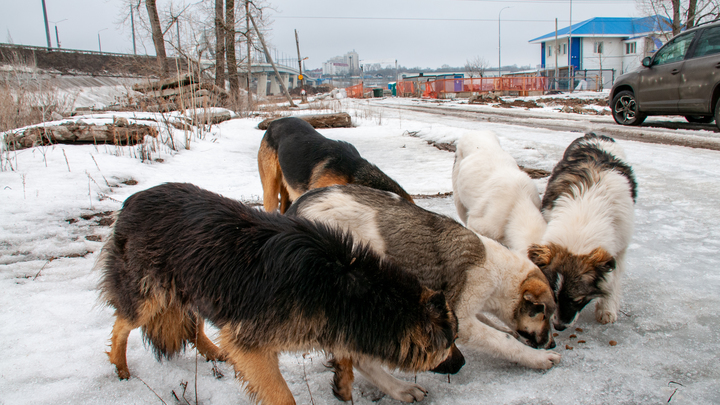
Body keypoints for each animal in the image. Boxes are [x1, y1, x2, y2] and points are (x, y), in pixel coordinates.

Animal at [97, 182, 456, 404]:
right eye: (449, 345)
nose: (462, 364)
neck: (341, 283)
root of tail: (134, 199)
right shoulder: (251, 347)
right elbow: (283, 395)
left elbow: (346, 353)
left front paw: (345, 380)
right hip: (150, 294)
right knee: (121, 325)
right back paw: (120, 367)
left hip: (195, 285)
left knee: (192, 324)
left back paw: (212, 352)